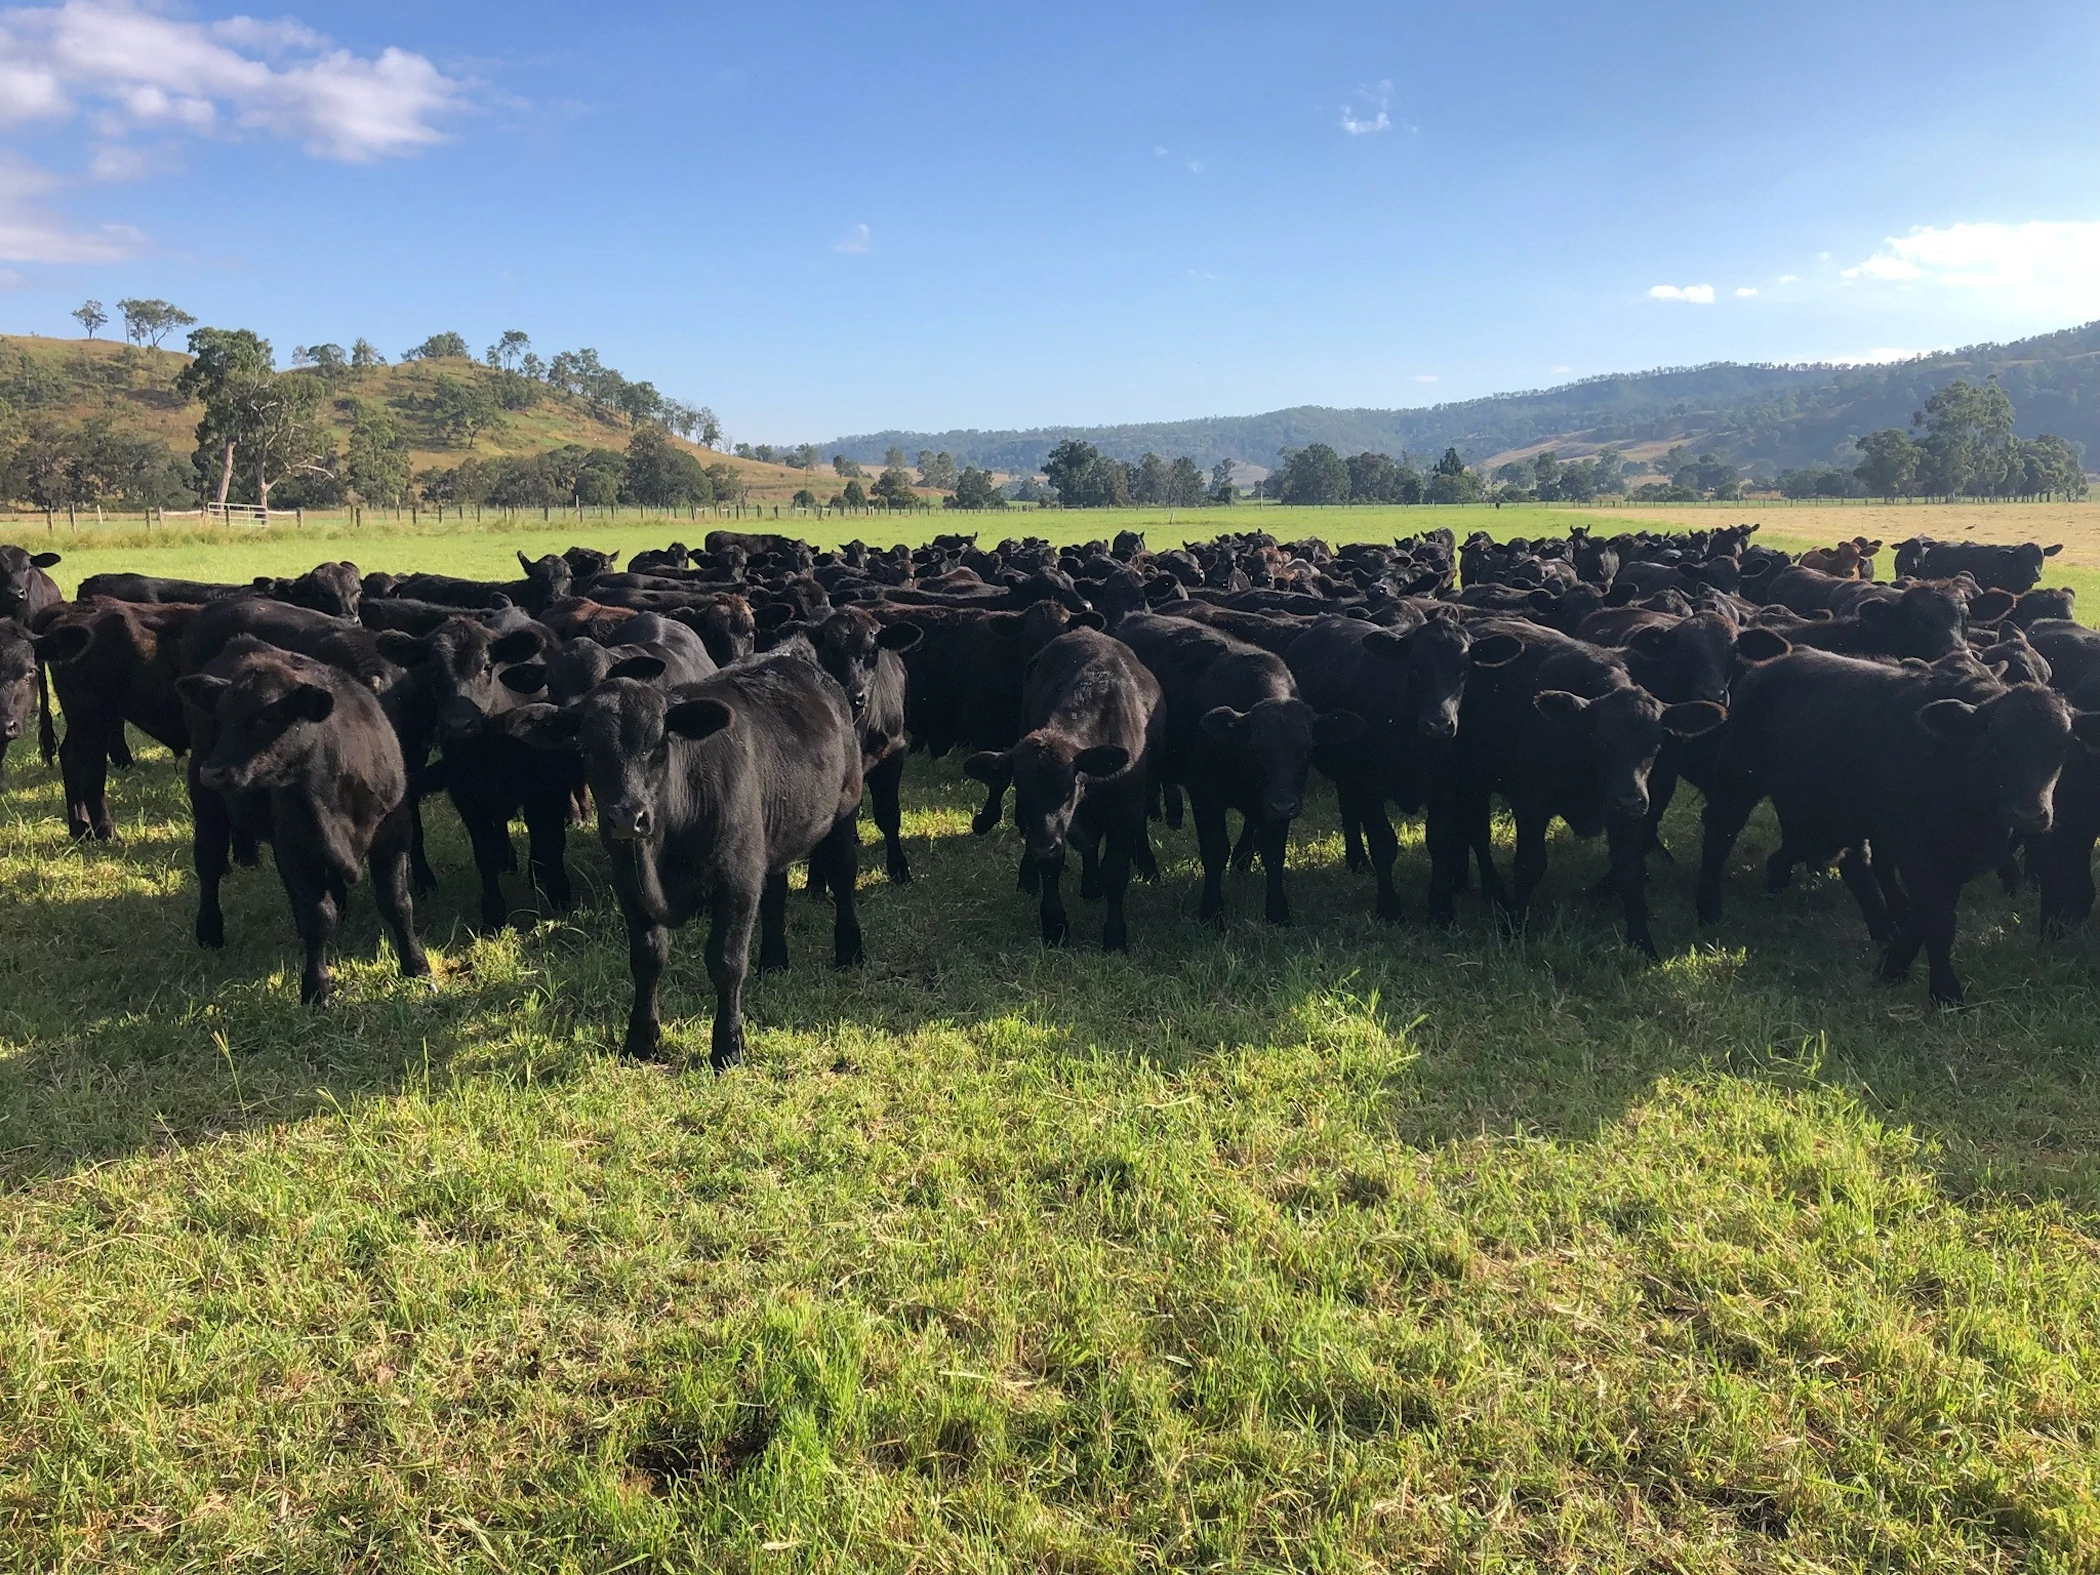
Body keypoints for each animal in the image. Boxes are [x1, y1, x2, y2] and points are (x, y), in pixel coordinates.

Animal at [175, 639, 429, 1004]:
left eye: (267, 715)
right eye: (220, 718)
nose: (213, 772)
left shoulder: (394, 834)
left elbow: (397, 902)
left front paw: (416, 964)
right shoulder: (299, 844)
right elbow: (318, 916)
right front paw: (316, 986)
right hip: (209, 809)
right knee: (208, 866)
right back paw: (209, 931)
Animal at [507, 652, 867, 1067]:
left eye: (658, 743)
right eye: (587, 748)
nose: (627, 817)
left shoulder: (738, 880)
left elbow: (726, 962)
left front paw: (728, 1046)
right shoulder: (628, 883)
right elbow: (647, 958)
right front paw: (640, 1039)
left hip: (845, 809)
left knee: (842, 875)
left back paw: (850, 950)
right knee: (776, 892)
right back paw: (774, 961)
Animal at [965, 628, 1162, 951]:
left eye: (1068, 789)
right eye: (1021, 789)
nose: (1043, 845)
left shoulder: (1125, 811)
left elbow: (1116, 873)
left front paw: (1115, 935)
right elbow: (1053, 866)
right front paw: (1055, 925)